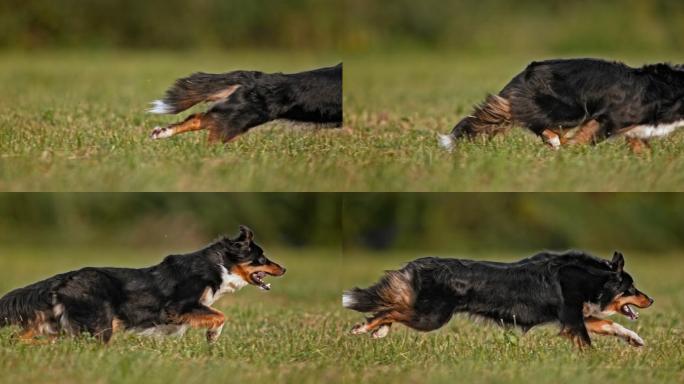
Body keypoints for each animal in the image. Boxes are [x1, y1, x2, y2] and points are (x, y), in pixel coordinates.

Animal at [0, 226, 284, 344]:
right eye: (262, 258)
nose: (284, 268)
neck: (219, 264)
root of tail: (64, 278)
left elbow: (218, 314)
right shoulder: (178, 306)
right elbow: (221, 315)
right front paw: (212, 335)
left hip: (54, 322)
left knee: (21, 338)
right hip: (99, 324)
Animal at [344, 250, 656, 350]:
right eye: (631, 288)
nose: (651, 300)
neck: (590, 278)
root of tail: (419, 264)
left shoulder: (576, 316)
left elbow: (612, 326)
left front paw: (635, 340)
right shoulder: (572, 319)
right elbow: (589, 343)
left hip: (426, 313)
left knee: (392, 307)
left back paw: (378, 330)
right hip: (431, 317)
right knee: (391, 309)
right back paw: (365, 328)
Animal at [438, 57, 684, 152]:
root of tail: (527, 72)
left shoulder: (636, 131)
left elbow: (643, 150)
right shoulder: (609, 118)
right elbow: (585, 139)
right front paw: (572, 154)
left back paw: (555, 142)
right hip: (569, 110)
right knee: (520, 115)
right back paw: (557, 143)